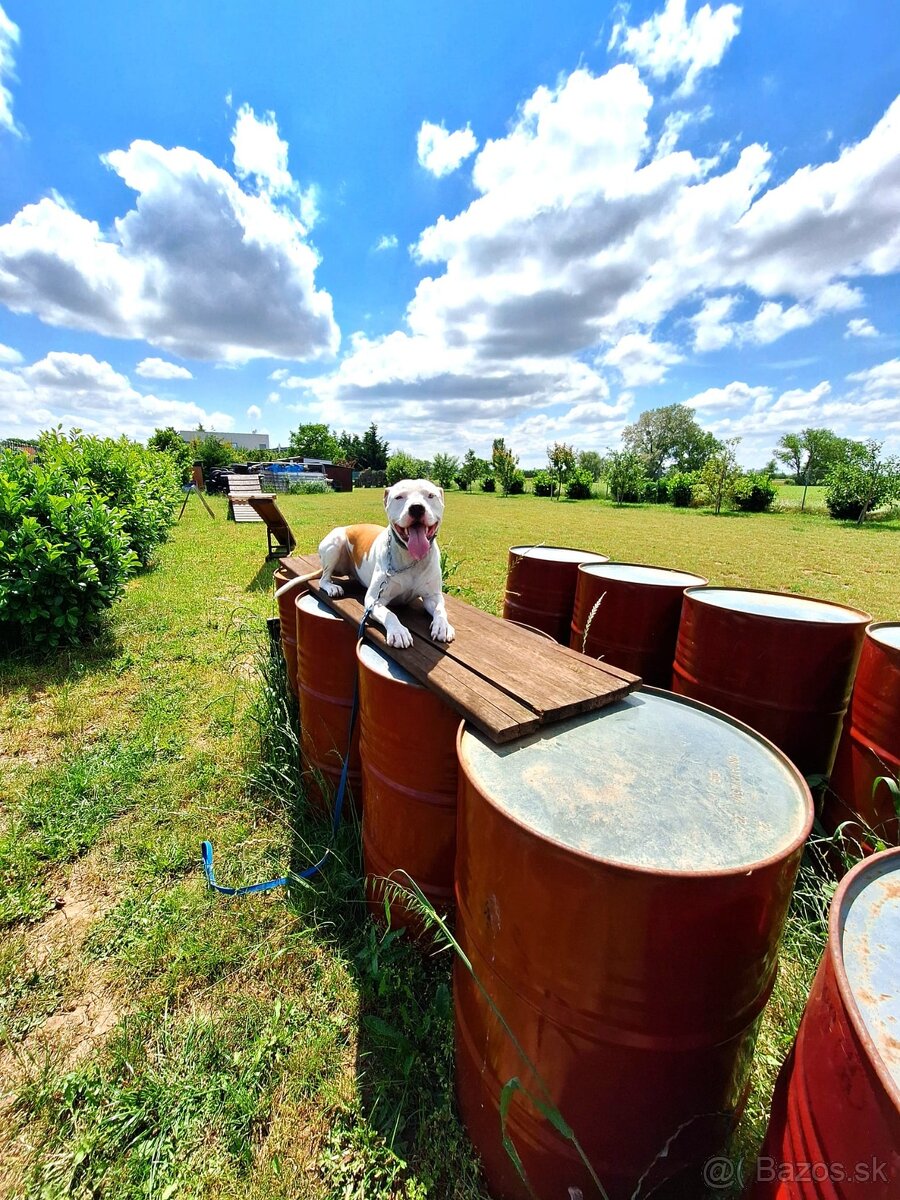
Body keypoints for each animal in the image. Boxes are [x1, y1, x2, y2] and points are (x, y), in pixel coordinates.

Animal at [273, 477, 458, 652]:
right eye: (399, 496)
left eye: (430, 495)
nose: (417, 508)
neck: (411, 559)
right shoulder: (374, 600)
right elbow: (390, 614)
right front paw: (398, 631)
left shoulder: (433, 596)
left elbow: (440, 609)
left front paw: (442, 626)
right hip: (335, 544)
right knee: (323, 578)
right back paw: (332, 587)